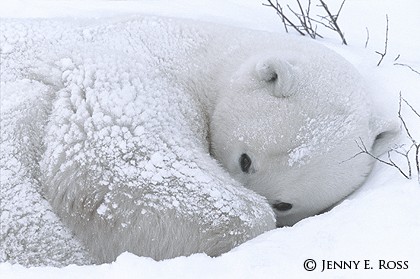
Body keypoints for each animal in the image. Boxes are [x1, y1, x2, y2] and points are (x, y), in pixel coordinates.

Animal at [0, 15, 398, 266]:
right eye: (246, 160)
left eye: (285, 203)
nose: (260, 196)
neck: (204, 54)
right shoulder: (126, 69)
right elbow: (124, 154)